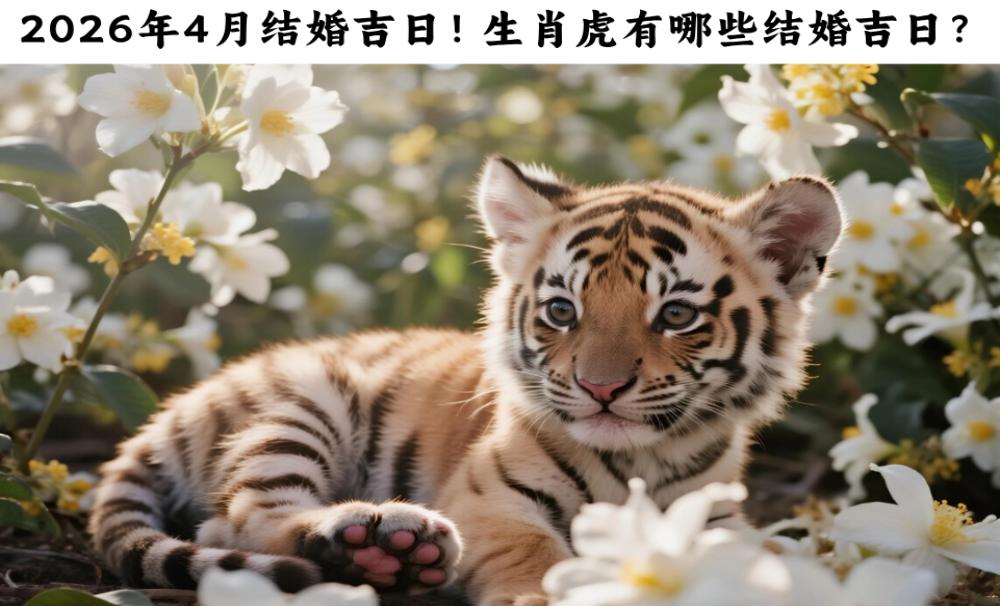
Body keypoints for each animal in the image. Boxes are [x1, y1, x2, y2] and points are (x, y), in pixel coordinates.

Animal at [88, 155, 843, 605]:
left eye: (677, 314)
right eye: (562, 311)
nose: (599, 389)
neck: (644, 459)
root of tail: (165, 414)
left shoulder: (716, 515)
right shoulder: (487, 499)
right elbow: (533, 549)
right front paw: (542, 594)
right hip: (303, 407)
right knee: (235, 520)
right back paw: (380, 540)